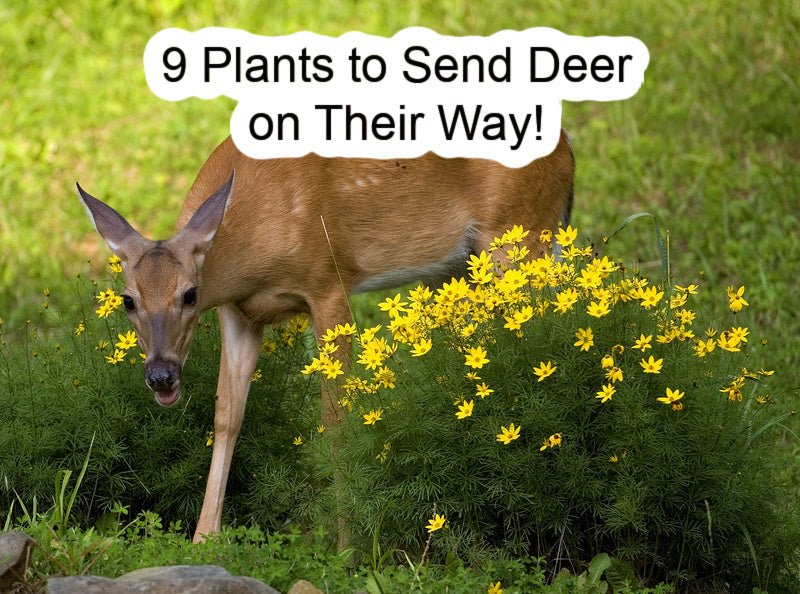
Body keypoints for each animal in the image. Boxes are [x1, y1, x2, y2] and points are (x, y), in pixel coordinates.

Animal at [76, 132, 575, 543]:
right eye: (127, 301)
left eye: (190, 294)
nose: (161, 376)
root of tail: (568, 149)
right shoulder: (239, 313)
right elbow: (227, 414)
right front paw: (204, 540)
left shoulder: (328, 281)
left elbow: (335, 417)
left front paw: (348, 545)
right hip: (457, 267)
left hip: (519, 234)